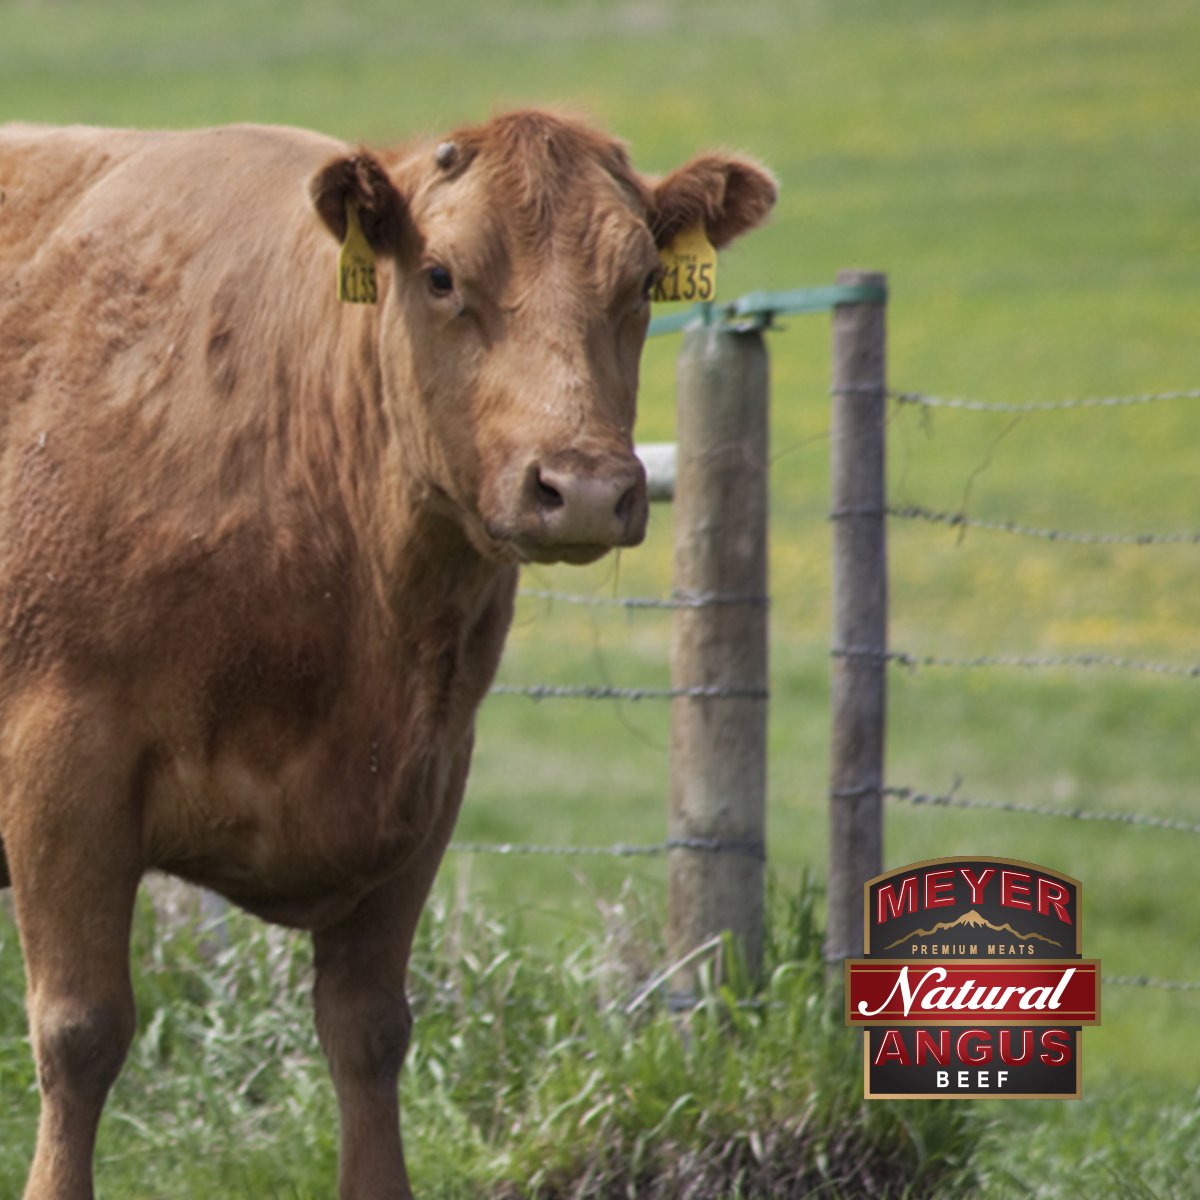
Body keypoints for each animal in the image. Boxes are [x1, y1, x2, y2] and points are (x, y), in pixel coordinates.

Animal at [0, 109, 775, 1199]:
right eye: (442, 276)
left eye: (638, 283)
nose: (581, 487)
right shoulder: (61, 761)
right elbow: (81, 1032)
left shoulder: (428, 779)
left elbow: (369, 1033)